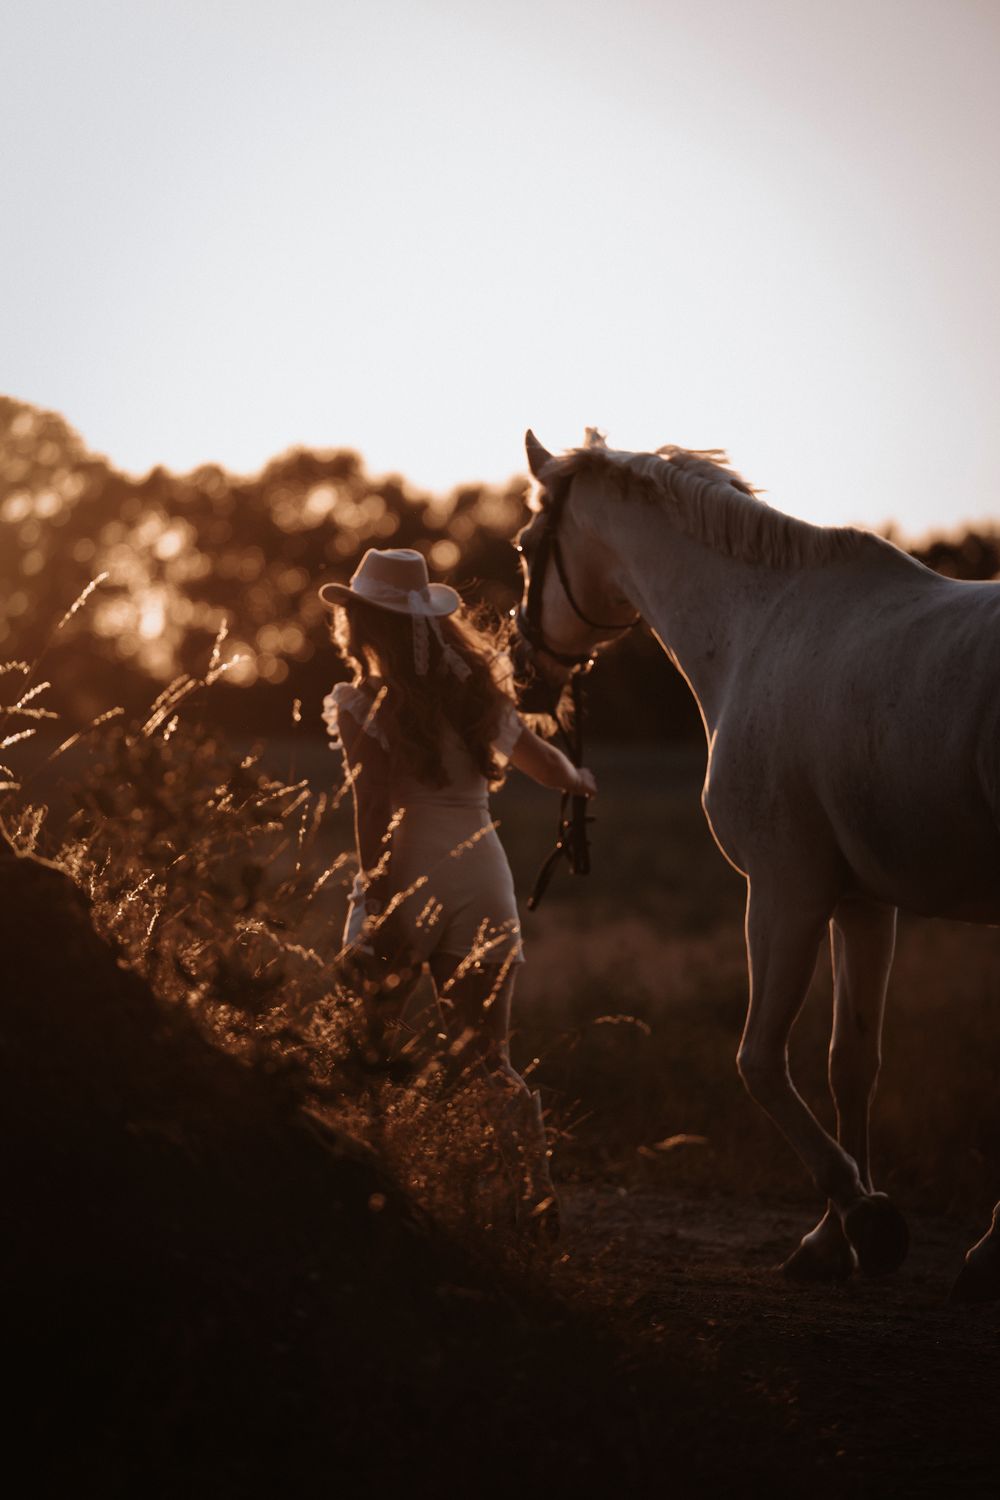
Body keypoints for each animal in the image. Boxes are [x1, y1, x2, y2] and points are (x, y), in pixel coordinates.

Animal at [513, 427, 1000, 1302]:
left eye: (529, 545)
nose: (519, 667)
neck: (757, 630)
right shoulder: (863, 903)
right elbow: (850, 1065)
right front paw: (831, 1239)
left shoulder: (784, 892)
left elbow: (760, 1062)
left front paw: (867, 1222)